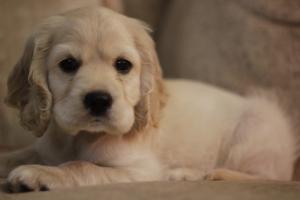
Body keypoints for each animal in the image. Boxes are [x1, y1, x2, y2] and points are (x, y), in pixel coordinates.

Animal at [0, 7, 298, 192]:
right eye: (68, 64)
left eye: (123, 65)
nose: (98, 100)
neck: (79, 138)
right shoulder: (44, 149)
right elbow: (15, 154)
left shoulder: (139, 171)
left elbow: (81, 166)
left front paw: (40, 174)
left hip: (254, 131)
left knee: (266, 176)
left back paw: (194, 173)